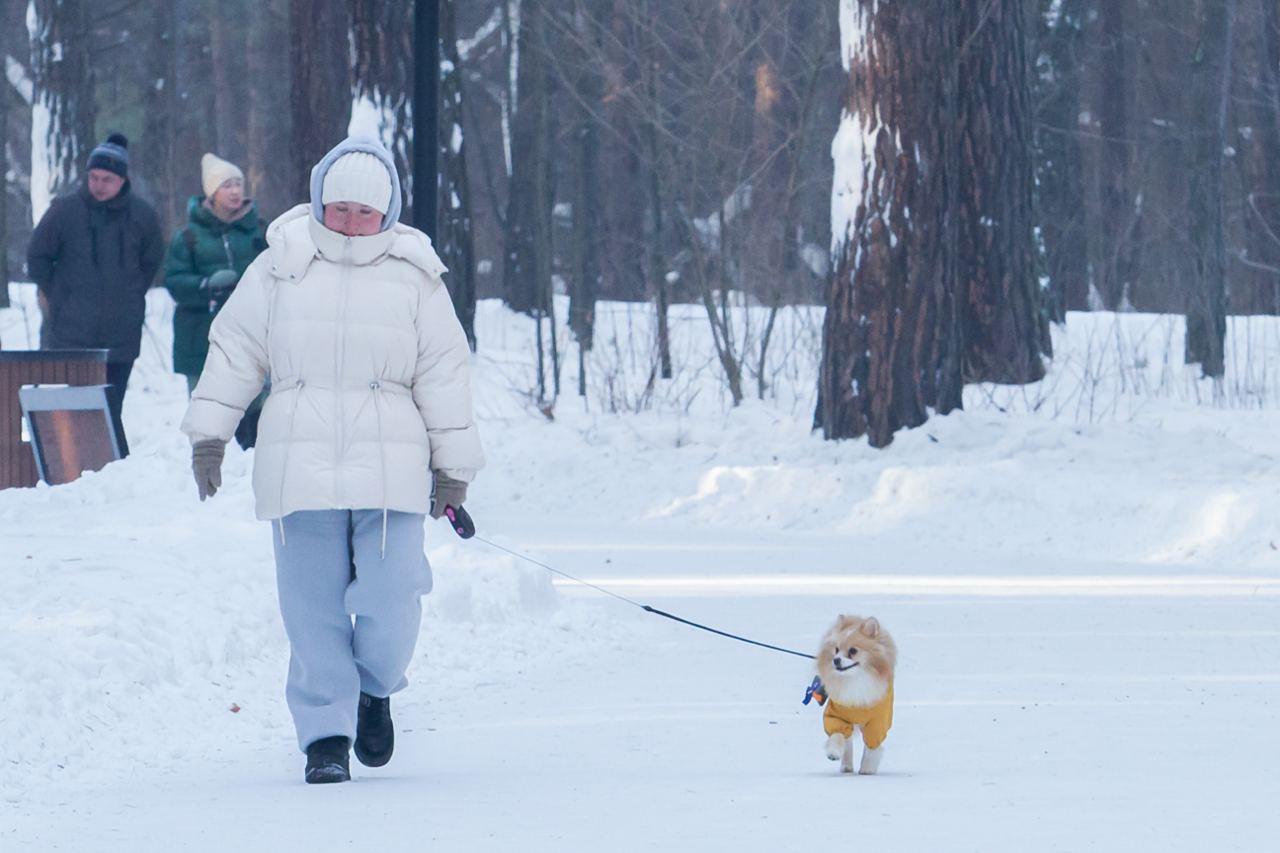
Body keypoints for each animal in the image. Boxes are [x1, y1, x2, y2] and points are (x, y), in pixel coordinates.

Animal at [814, 612, 896, 768]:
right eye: (836, 650)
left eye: (853, 651)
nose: (836, 660)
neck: (855, 678)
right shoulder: (837, 716)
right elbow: (838, 735)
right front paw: (833, 753)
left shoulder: (877, 722)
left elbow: (871, 748)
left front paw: (867, 769)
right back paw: (846, 766)